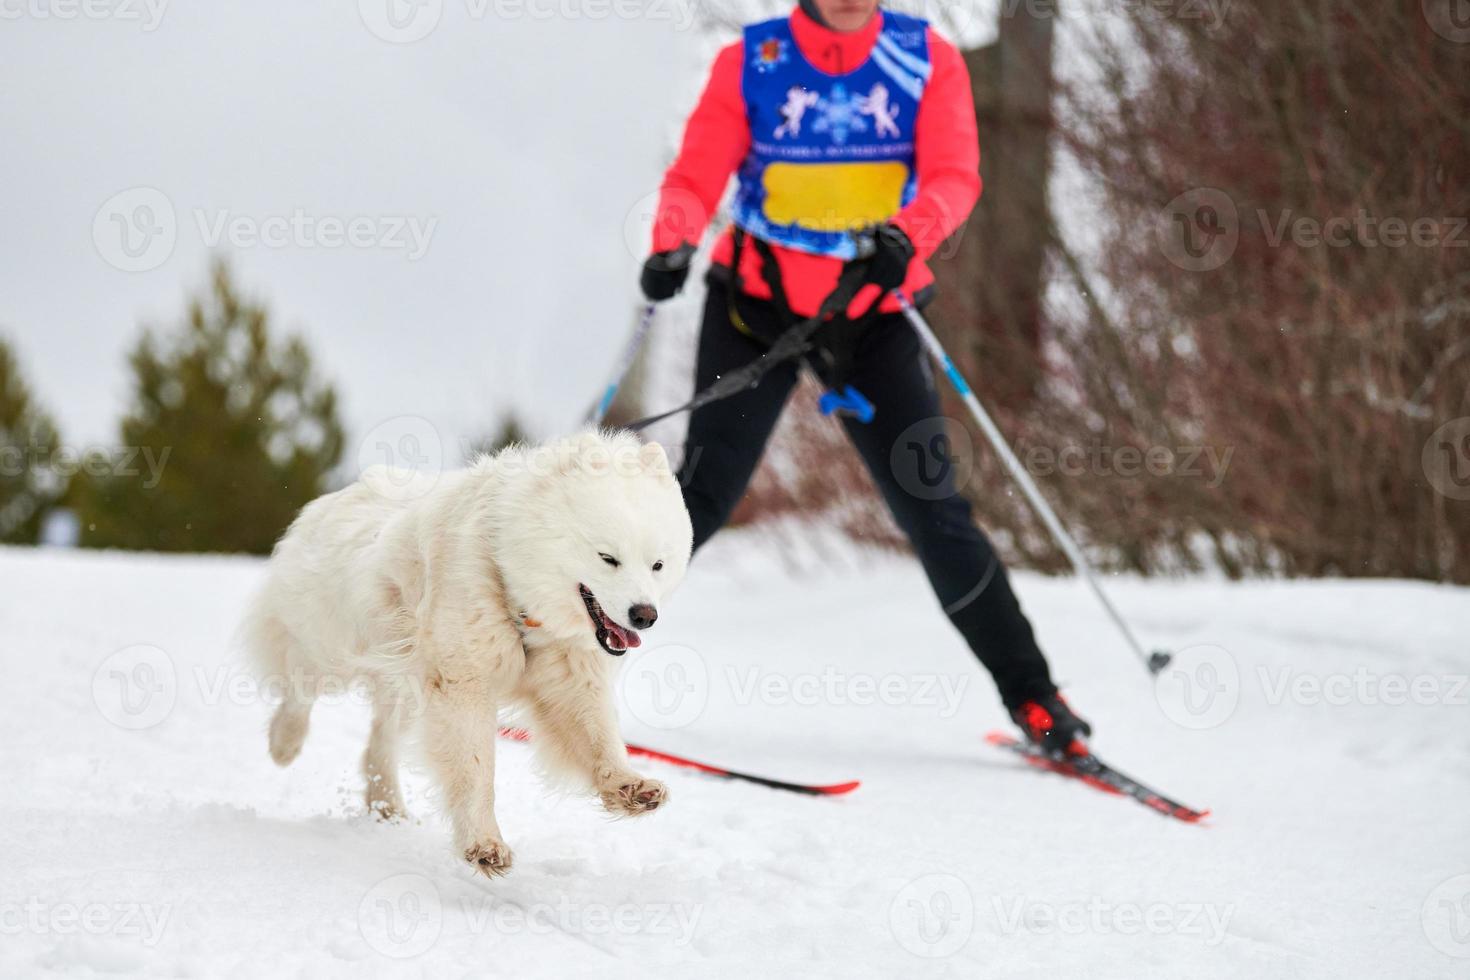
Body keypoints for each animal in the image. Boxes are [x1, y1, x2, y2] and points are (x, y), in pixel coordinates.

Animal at [239, 431, 693, 875]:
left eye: (657, 564)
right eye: (608, 558)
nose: (645, 615)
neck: (517, 592)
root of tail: (345, 492)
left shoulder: (569, 678)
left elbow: (598, 737)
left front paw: (631, 787)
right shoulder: (463, 680)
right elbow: (477, 768)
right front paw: (484, 844)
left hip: (402, 680)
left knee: (379, 741)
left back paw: (387, 807)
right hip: (333, 641)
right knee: (300, 682)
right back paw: (285, 743)